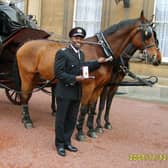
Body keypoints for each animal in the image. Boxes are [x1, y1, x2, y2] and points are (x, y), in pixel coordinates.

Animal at [16, 11, 160, 133]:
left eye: (154, 35)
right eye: (147, 34)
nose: (156, 58)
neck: (102, 51)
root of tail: (25, 44)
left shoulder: (101, 86)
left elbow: (93, 106)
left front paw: (92, 128)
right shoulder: (89, 85)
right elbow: (87, 107)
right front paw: (82, 130)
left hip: (36, 77)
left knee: (28, 96)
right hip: (27, 76)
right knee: (25, 95)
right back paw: (27, 120)